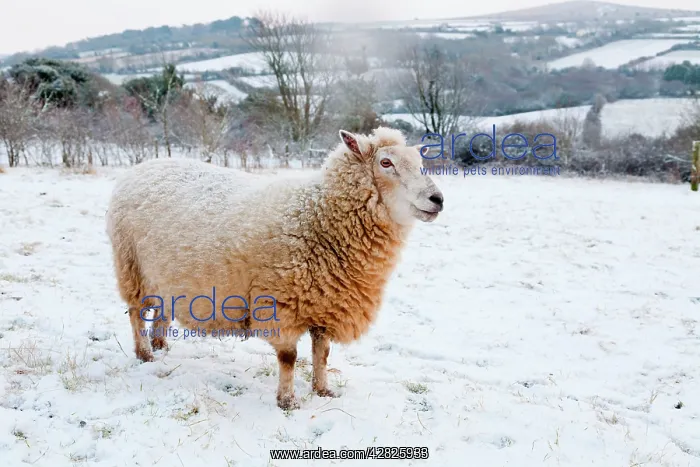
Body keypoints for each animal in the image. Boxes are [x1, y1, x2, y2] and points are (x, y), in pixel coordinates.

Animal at [106, 127, 444, 409]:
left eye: (419, 162)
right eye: (386, 163)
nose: (437, 199)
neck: (317, 214)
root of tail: (142, 167)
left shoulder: (325, 302)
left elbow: (322, 353)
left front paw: (323, 391)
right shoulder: (280, 303)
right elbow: (288, 358)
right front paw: (288, 402)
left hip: (162, 272)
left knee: (162, 309)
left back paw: (161, 346)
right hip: (131, 265)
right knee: (136, 313)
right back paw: (145, 354)